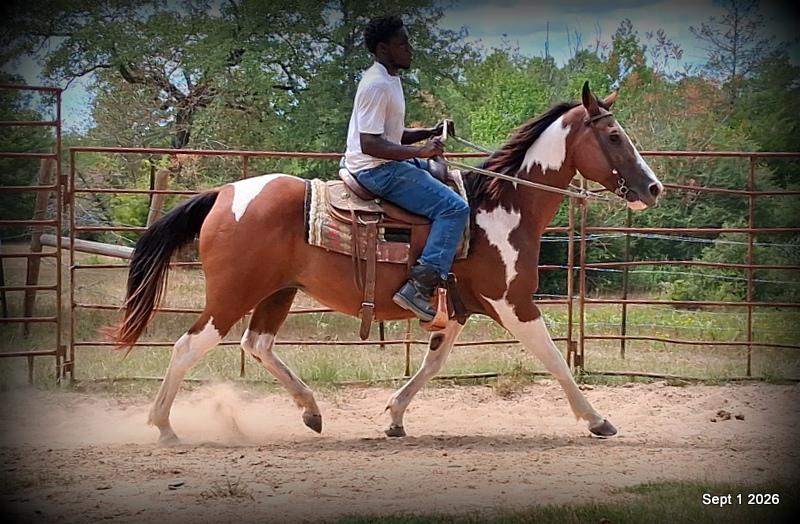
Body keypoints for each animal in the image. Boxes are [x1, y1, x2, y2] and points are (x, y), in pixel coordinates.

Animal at [110, 82, 663, 445]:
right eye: (614, 137)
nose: (653, 187)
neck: (502, 209)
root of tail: (224, 194)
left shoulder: (457, 311)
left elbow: (432, 364)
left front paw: (395, 417)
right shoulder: (514, 303)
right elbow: (553, 359)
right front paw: (597, 420)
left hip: (277, 292)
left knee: (258, 344)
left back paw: (311, 412)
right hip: (232, 294)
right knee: (189, 346)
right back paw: (163, 427)